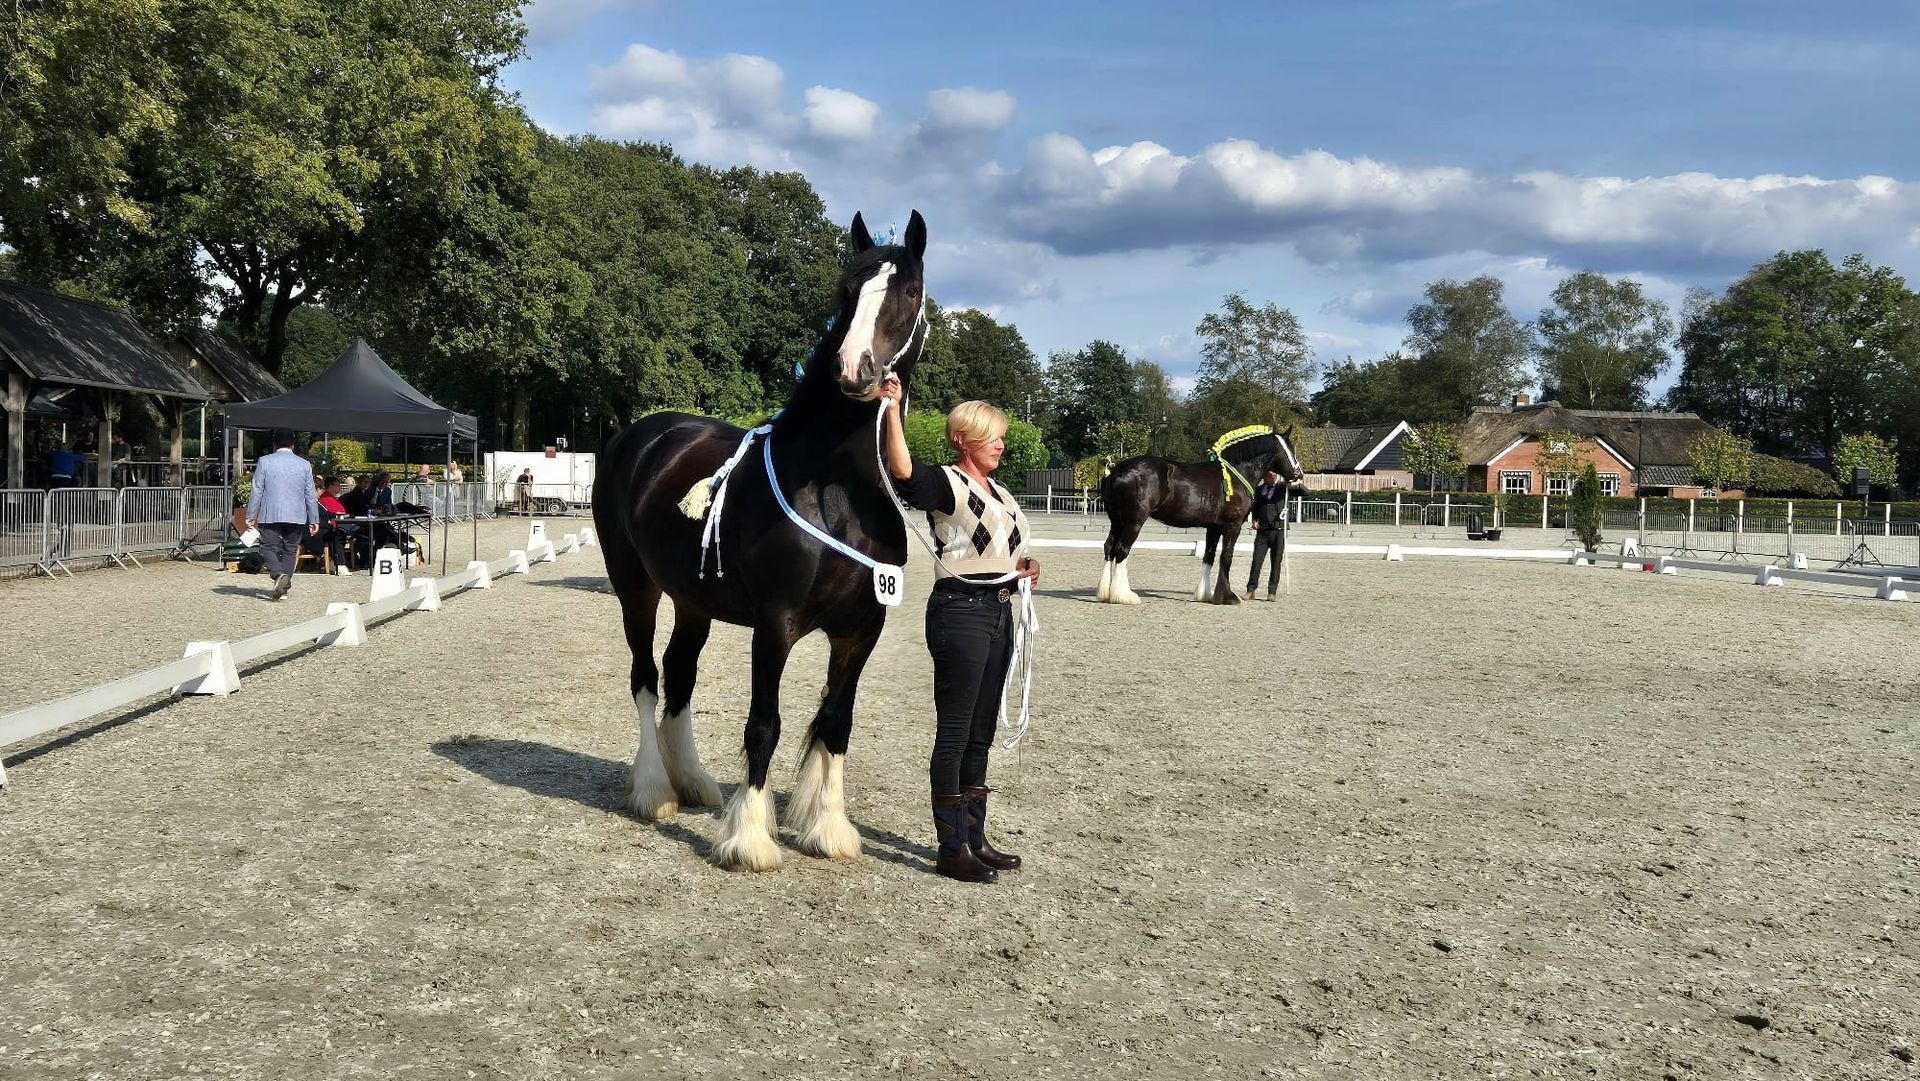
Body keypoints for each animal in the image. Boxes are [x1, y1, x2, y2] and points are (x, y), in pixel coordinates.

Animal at [591, 210, 929, 872]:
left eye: (907, 290)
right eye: (846, 291)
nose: (854, 370)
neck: (835, 489)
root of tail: (635, 437)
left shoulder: (861, 630)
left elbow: (836, 722)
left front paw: (828, 829)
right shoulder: (777, 624)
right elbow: (763, 724)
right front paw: (749, 837)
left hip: (692, 600)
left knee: (679, 674)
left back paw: (695, 782)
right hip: (635, 588)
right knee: (646, 675)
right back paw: (655, 791)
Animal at [1094, 426, 1306, 605]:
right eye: (1287, 450)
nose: (1299, 475)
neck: (1236, 474)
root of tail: (1115, 471)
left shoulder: (1214, 527)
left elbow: (1209, 556)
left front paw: (1206, 594)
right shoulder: (1233, 525)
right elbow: (1226, 557)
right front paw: (1228, 597)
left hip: (1117, 521)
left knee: (1109, 547)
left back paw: (1105, 593)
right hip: (1134, 522)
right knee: (1121, 550)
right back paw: (1124, 596)